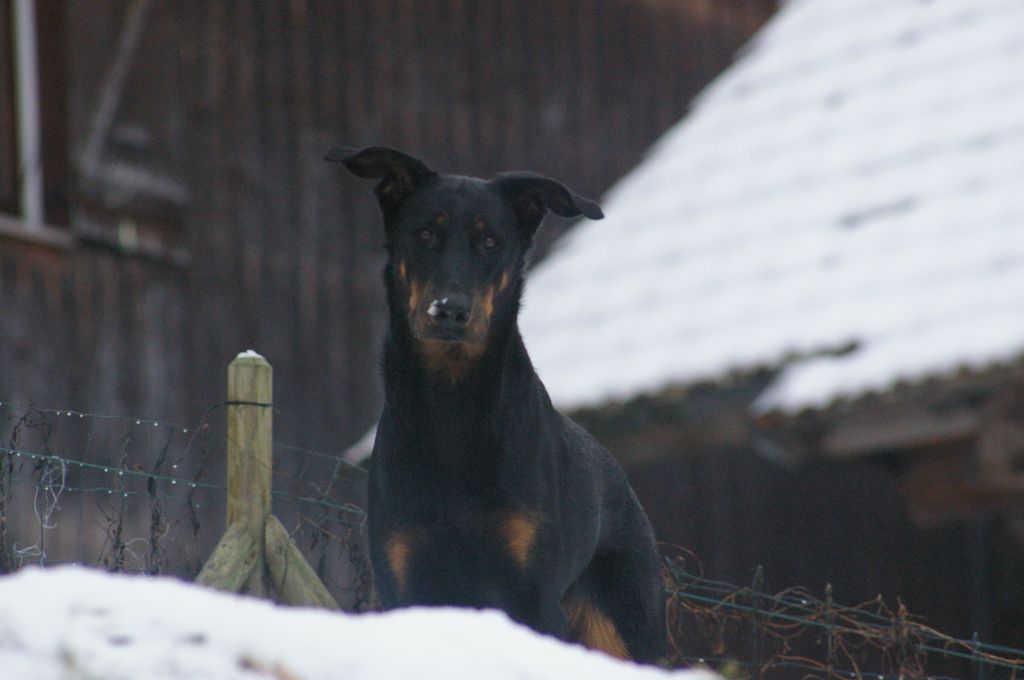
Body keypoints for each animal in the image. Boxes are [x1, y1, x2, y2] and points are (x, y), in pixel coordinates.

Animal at [325, 146, 663, 659]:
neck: (452, 405)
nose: (449, 310)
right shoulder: (405, 578)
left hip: (623, 622)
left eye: (490, 242)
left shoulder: (531, 591)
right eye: (426, 234)